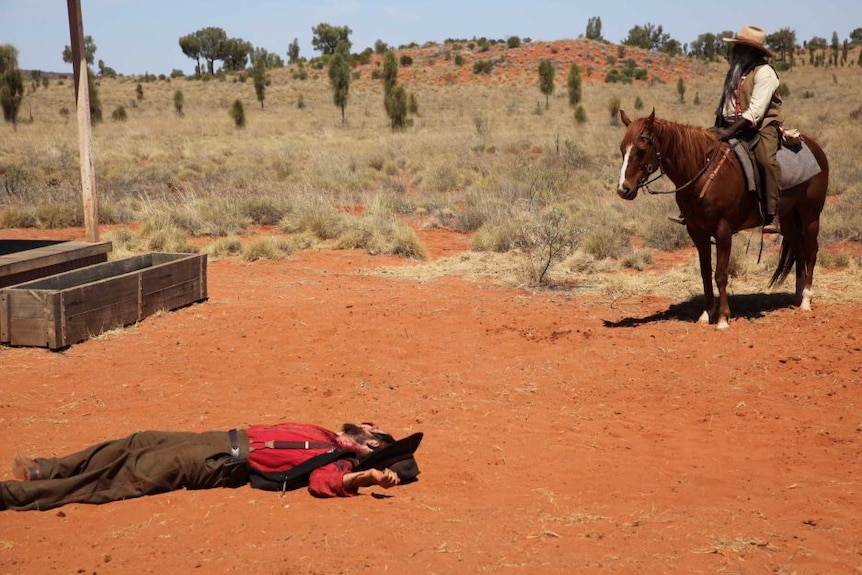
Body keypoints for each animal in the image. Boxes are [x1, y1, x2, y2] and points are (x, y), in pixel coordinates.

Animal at [616, 111, 832, 330]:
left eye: (641, 150)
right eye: (622, 150)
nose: (623, 189)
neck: (702, 173)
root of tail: (815, 148)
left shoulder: (723, 231)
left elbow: (720, 274)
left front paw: (722, 319)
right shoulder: (697, 232)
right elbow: (705, 273)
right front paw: (706, 314)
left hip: (810, 214)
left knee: (811, 251)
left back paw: (806, 300)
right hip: (788, 217)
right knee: (798, 249)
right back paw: (797, 297)